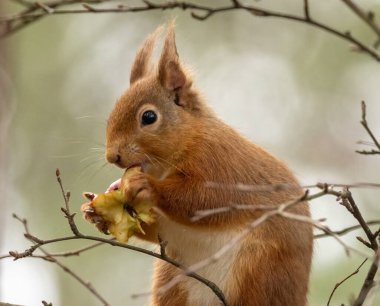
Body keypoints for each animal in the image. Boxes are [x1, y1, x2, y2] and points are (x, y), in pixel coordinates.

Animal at [103, 23, 312, 306]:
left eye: (148, 117)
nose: (112, 156)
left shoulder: (219, 163)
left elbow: (205, 200)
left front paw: (147, 186)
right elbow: (161, 228)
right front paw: (105, 201)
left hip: (260, 269)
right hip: (172, 279)